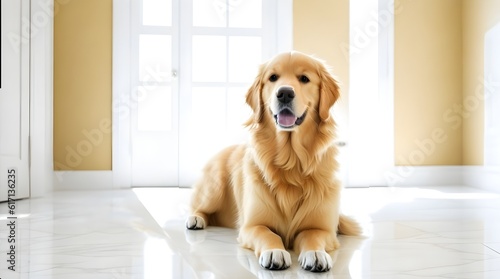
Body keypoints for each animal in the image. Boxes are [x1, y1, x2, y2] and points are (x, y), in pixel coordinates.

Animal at [187, 51, 360, 272]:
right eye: (273, 78)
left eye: (304, 79)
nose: (284, 93)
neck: (291, 162)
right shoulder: (252, 225)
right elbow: (267, 234)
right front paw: (274, 252)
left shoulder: (322, 228)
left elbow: (312, 236)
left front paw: (315, 254)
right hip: (213, 188)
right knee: (197, 206)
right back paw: (195, 219)